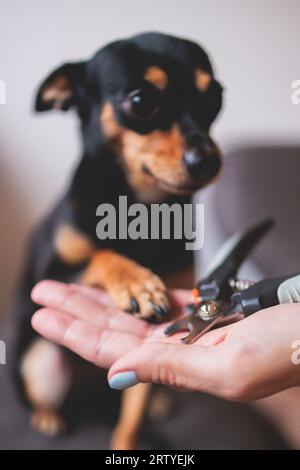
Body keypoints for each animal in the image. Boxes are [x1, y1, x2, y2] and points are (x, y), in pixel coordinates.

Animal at [13, 31, 223, 450]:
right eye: (141, 102)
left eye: (215, 98)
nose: (207, 158)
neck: (142, 210)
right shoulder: (49, 273)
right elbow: (101, 255)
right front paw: (137, 282)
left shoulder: (140, 357)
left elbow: (133, 414)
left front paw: (128, 442)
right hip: (39, 362)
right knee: (39, 392)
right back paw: (48, 417)